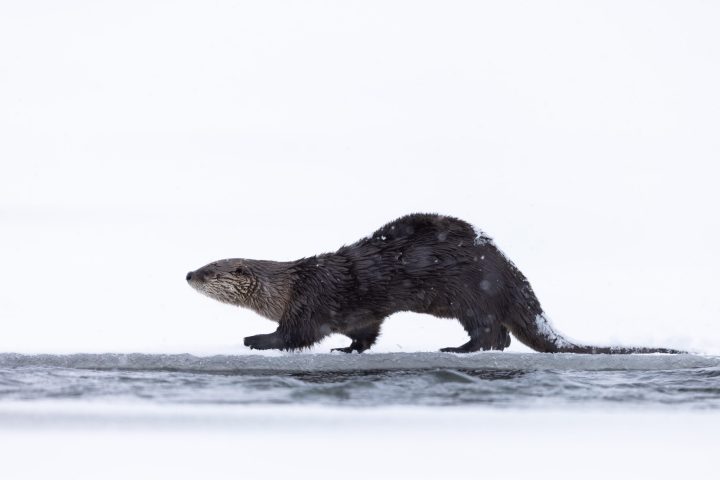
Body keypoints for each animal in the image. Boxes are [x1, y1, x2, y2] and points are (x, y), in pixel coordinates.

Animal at [187, 213, 682, 354]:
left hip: (471, 294)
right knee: (502, 336)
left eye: (210, 270)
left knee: (491, 332)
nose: (188, 274)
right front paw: (349, 351)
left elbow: (296, 334)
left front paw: (255, 339)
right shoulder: (361, 313)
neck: (289, 288)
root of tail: (508, 269)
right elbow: (364, 332)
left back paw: (459, 349)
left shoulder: (311, 303)